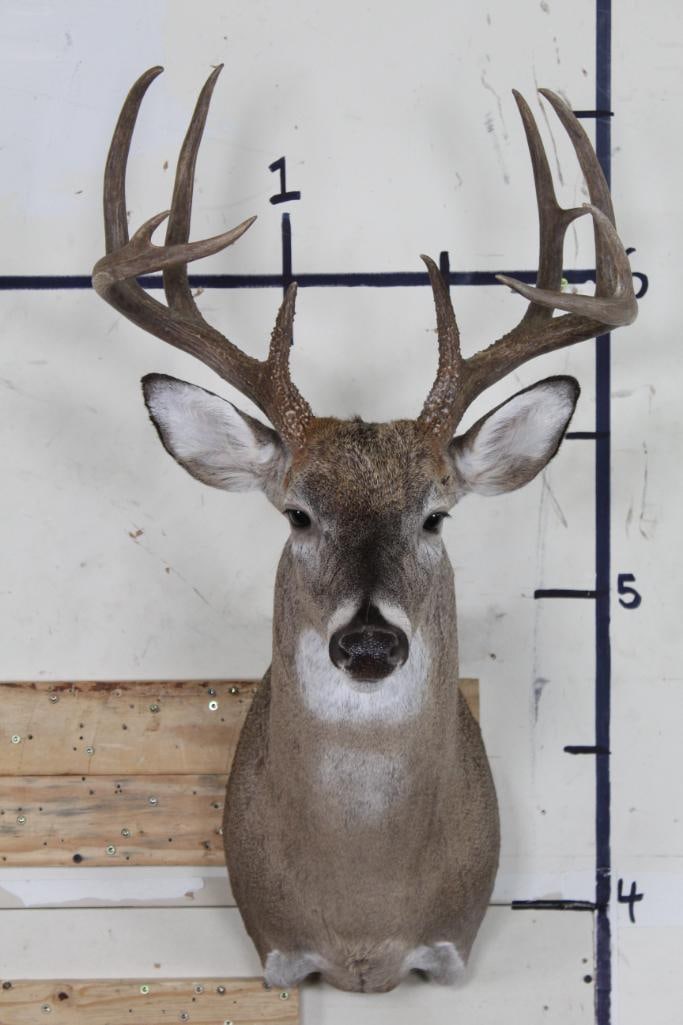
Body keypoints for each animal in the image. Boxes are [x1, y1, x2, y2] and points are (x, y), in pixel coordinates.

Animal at [92, 66, 637, 994]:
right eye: (297, 512)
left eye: (435, 513)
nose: (371, 641)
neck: (362, 925)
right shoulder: (275, 948)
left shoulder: (452, 948)